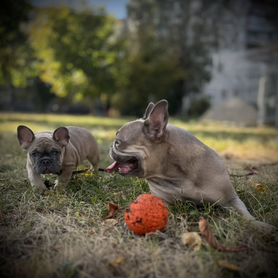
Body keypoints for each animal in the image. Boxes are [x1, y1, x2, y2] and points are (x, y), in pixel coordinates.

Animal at [108, 99, 274, 230]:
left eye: (118, 142)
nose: (111, 146)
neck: (174, 174)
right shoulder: (164, 201)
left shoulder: (231, 200)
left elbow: (246, 215)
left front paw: (261, 226)